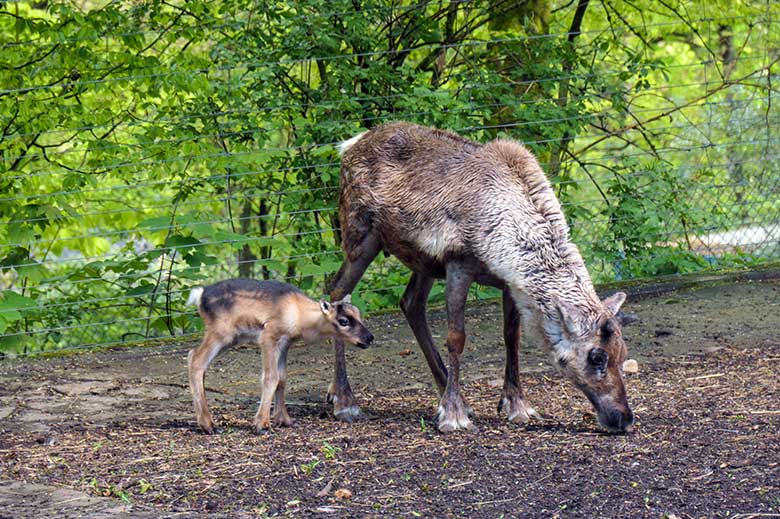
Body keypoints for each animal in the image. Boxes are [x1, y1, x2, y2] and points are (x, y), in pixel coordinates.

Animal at [187, 280, 374, 434]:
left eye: (359, 314)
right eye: (344, 321)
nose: (369, 338)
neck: (300, 317)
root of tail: (200, 294)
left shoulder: (285, 343)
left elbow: (283, 378)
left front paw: (284, 420)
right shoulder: (269, 336)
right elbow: (271, 377)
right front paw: (262, 425)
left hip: (230, 338)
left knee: (193, 357)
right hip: (221, 333)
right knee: (196, 360)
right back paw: (209, 425)